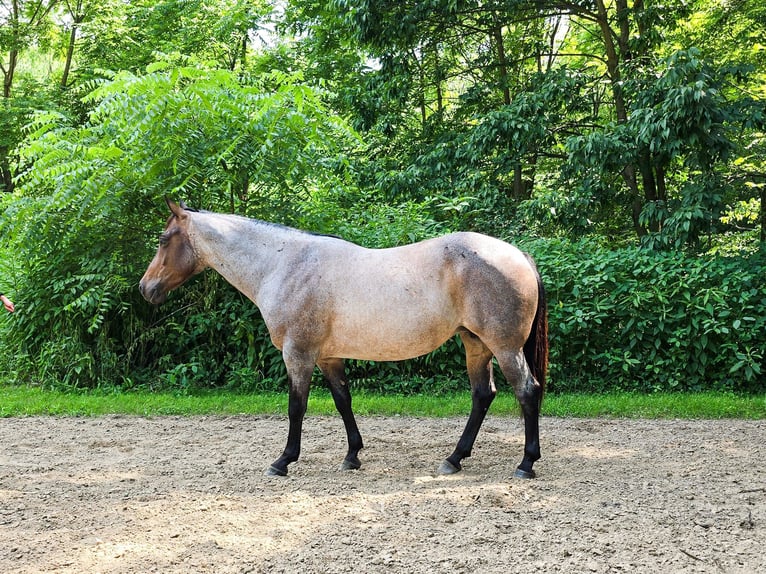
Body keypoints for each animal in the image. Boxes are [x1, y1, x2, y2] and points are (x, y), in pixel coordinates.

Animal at [140, 199, 548, 479]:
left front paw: (283, 460)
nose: (145, 289)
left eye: (163, 239)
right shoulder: (327, 357)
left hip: (504, 347)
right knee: (483, 395)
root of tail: (519, 255)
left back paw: (526, 463)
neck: (284, 265)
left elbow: (296, 407)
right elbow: (342, 401)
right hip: (475, 344)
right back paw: (454, 459)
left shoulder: (299, 355)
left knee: (526, 391)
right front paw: (352, 456)